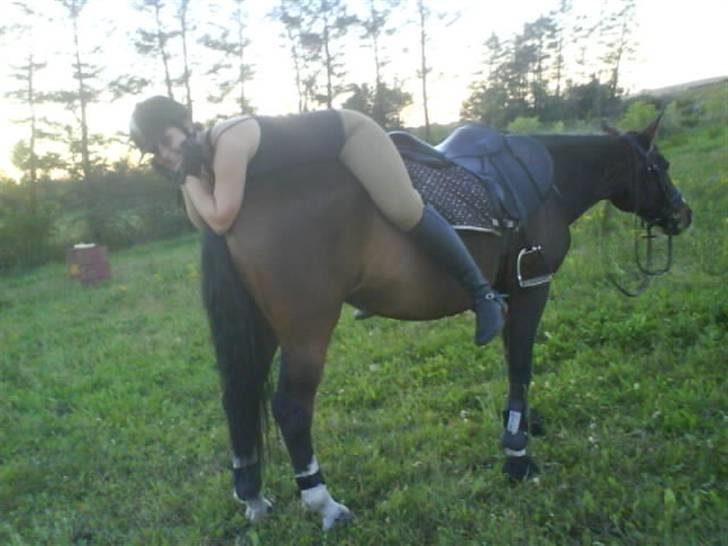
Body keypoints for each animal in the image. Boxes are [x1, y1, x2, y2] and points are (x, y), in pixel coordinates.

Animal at [199, 115, 692, 529]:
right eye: (662, 165)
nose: (682, 214)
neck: (547, 181)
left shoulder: (510, 292)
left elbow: (513, 360)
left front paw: (521, 425)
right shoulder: (533, 286)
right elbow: (522, 363)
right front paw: (518, 454)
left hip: (261, 328)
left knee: (237, 396)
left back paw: (252, 495)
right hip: (307, 331)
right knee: (291, 408)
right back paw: (324, 503)